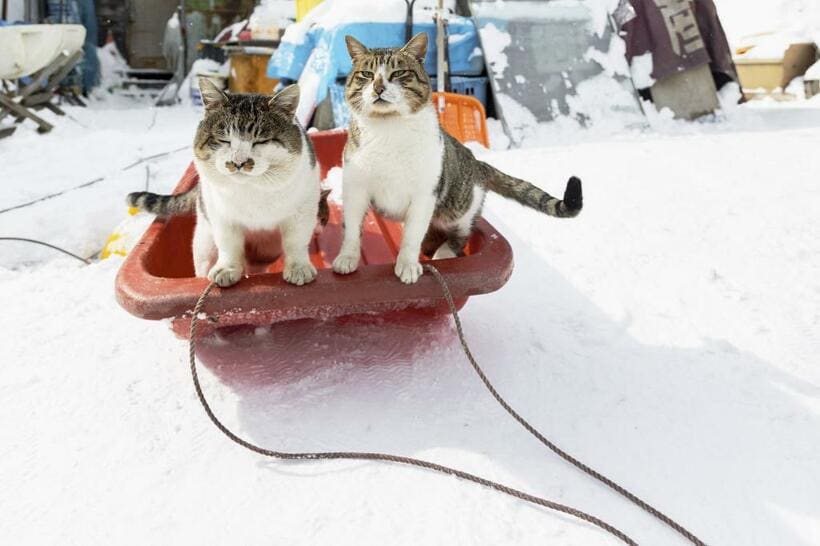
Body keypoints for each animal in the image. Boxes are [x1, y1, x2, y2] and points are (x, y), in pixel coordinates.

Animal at [127, 79, 320, 288]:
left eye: (261, 141)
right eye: (224, 140)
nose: (238, 162)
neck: (252, 190)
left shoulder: (303, 209)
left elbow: (296, 240)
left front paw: (298, 268)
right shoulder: (221, 215)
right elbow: (229, 243)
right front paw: (227, 269)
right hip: (204, 243)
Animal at [330, 33, 580, 284]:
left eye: (398, 73)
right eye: (366, 74)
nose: (379, 87)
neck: (388, 129)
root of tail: (478, 164)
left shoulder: (424, 195)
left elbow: (412, 235)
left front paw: (408, 264)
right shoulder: (356, 189)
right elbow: (351, 229)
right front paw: (347, 258)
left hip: (458, 210)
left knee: (461, 234)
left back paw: (444, 253)